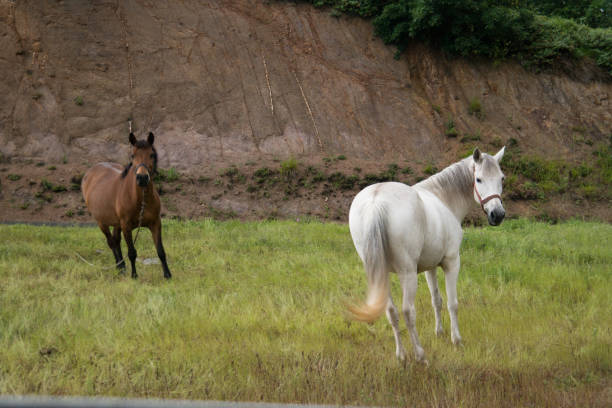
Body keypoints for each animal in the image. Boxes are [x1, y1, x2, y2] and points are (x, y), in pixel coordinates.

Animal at [81, 132, 172, 278]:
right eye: (132, 155)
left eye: (151, 154)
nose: (142, 178)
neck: (140, 199)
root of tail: (91, 172)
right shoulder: (126, 226)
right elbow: (132, 252)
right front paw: (134, 275)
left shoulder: (156, 223)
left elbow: (161, 251)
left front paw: (167, 275)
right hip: (102, 223)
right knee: (111, 242)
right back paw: (119, 266)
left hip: (116, 223)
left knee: (116, 240)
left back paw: (122, 267)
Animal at [350, 147, 506, 364]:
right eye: (479, 179)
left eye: (502, 178)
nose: (497, 215)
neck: (443, 199)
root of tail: (376, 201)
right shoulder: (451, 263)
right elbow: (452, 303)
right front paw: (456, 340)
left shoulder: (429, 268)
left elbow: (436, 300)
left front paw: (439, 332)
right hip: (407, 274)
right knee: (408, 312)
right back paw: (420, 356)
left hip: (382, 274)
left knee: (391, 312)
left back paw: (401, 356)